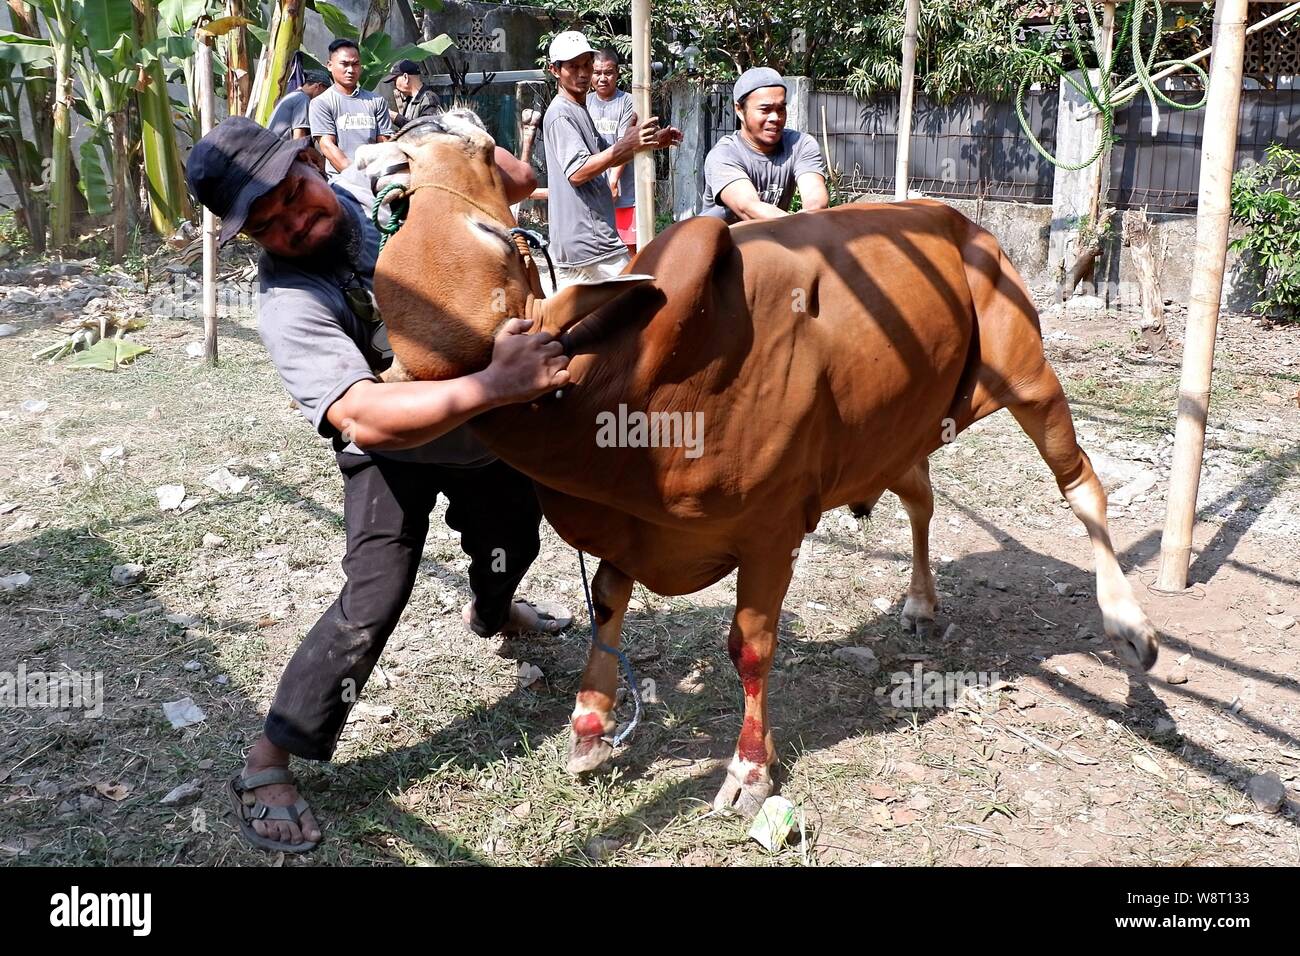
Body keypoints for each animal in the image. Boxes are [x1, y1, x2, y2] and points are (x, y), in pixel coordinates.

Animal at [369, 111, 1159, 816]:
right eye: (402, 208)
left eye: (497, 235)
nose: (419, 130)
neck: (630, 386)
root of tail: (961, 221)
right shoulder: (634, 529)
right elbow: (608, 606)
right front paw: (591, 729)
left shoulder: (771, 529)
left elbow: (748, 647)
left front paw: (749, 770)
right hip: (899, 428)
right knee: (922, 499)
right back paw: (921, 602)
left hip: (1027, 372)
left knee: (1082, 486)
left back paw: (1130, 629)